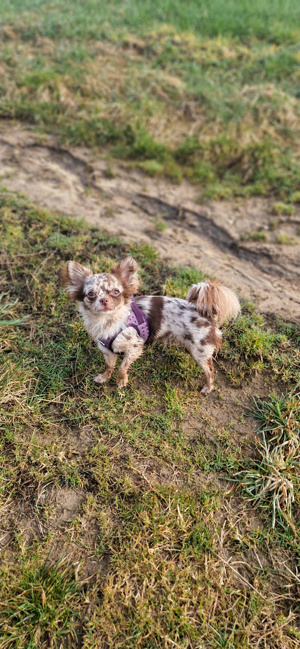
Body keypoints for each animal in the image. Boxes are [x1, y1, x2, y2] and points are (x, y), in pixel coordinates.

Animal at [62, 256, 240, 390]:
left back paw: (208, 387)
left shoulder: (135, 347)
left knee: (210, 370)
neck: (108, 321)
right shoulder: (107, 350)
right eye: (91, 294)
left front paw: (121, 382)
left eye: (116, 292)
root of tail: (206, 311)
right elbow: (110, 366)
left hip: (200, 352)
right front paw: (104, 377)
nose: (104, 300)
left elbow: (122, 367)